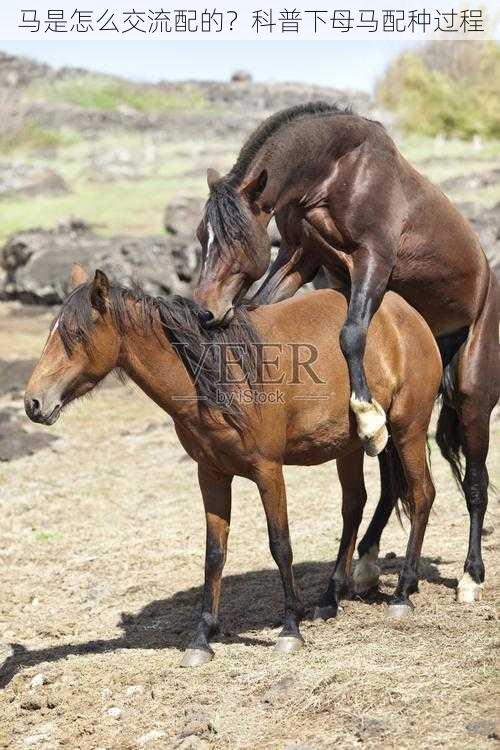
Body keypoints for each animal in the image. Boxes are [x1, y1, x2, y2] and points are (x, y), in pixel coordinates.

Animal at [26, 268, 442, 668]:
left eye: (75, 335)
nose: (33, 402)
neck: (221, 376)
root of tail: (405, 314)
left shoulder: (268, 471)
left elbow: (280, 545)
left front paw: (289, 630)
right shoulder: (210, 475)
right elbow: (214, 554)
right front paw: (202, 638)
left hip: (408, 429)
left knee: (422, 494)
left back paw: (402, 594)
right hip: (349, 446)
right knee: (354, 506)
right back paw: (331, 598)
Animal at [193, 101, 498, 604]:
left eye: (234, 238)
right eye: (203, 236)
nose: (205, 311)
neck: (335, 171)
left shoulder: (374, 258)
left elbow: (352, 333)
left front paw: (366, 414)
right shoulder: (300, 256)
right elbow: (263, 306)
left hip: (473, 398)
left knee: (474, 484)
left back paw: (471, 577)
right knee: (395, 484)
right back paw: (367, 563)